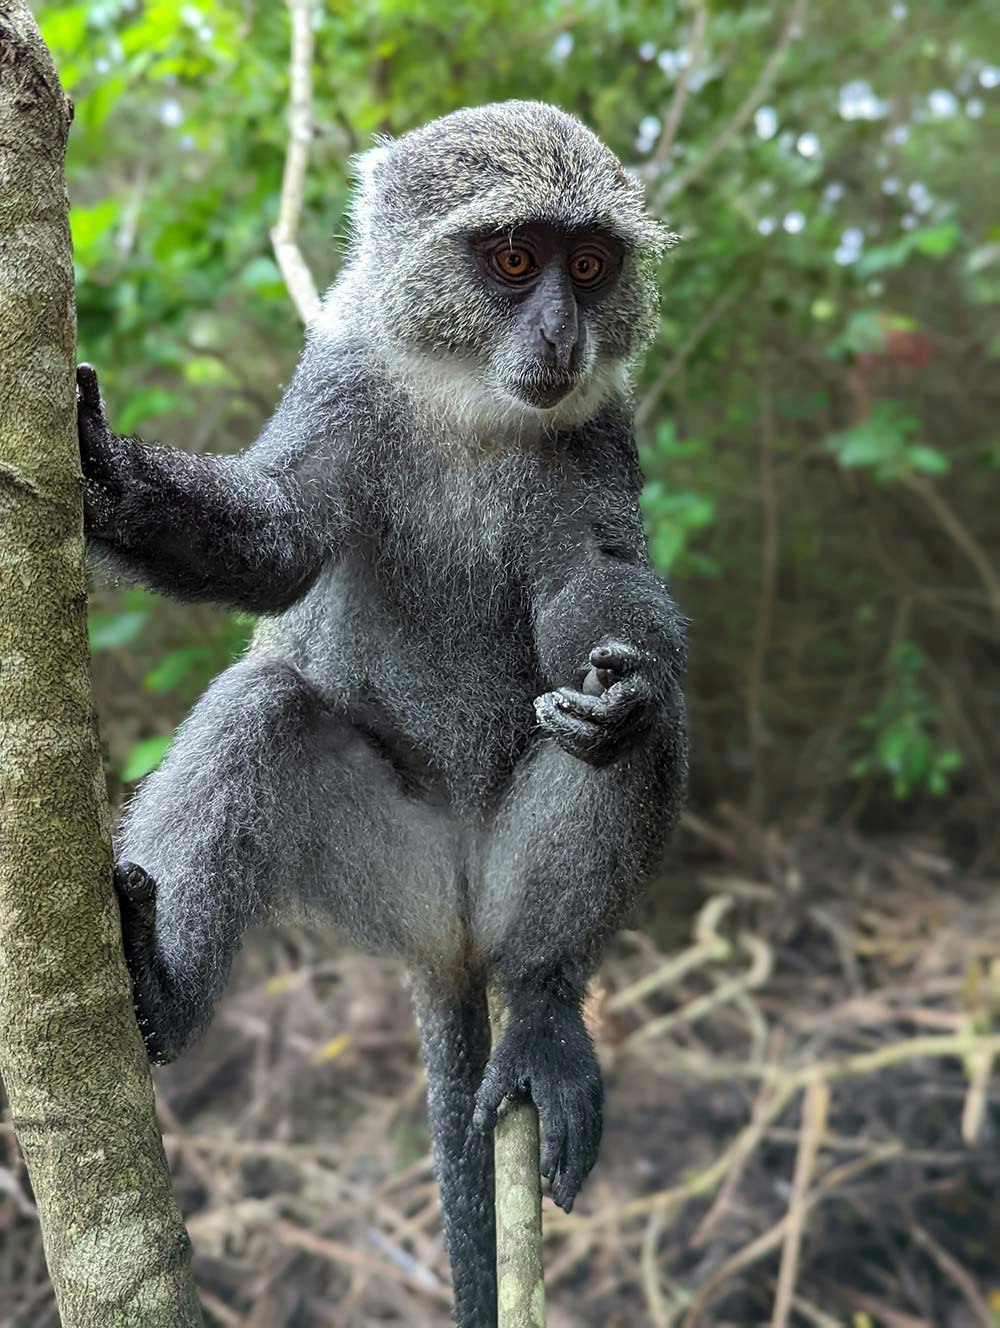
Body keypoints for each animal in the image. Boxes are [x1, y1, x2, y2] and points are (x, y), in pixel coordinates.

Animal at [77, 101, 688, 1327]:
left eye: (590, 267)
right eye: (515, 261)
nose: (563, 337)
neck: (469, 404)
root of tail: (446, 934)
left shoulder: (596, 436)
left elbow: (591, 589)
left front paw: (630, 686)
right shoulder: (344, 383)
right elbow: (280, 540)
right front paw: (107, 476)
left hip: (494, 876)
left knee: (633, 754)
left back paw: (542, 1013)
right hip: (376, 860)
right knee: (264, 706)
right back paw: (158, 986)